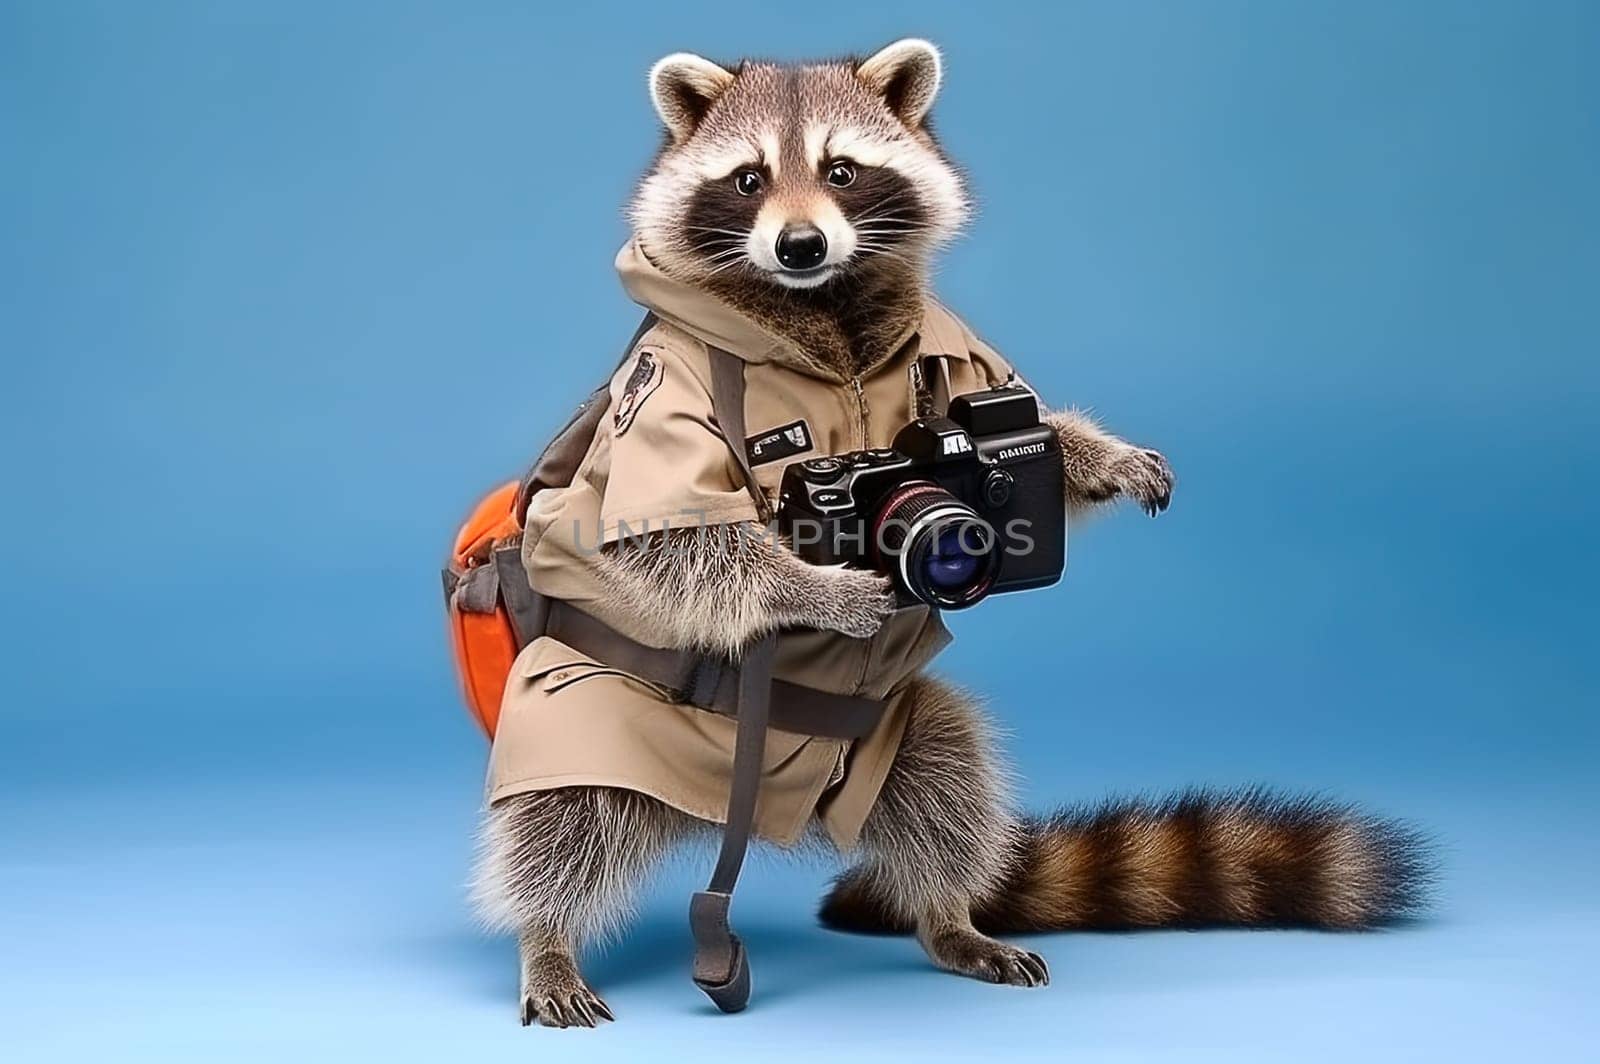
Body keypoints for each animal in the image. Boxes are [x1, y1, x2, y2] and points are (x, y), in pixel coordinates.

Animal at [467, 37, 1433, 1024]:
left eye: (842, 171)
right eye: (748, 179)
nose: (801, 244)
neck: (827, 315)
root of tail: (740, 818)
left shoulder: (960, 361)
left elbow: (1032, 433)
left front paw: (1095, 453)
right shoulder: (664, 390)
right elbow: (673, 543)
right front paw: (815, 589)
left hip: (893, 734)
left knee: (947, 786)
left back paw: (948, 918)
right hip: (591, 716)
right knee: (560, 826)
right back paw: (548, 941)